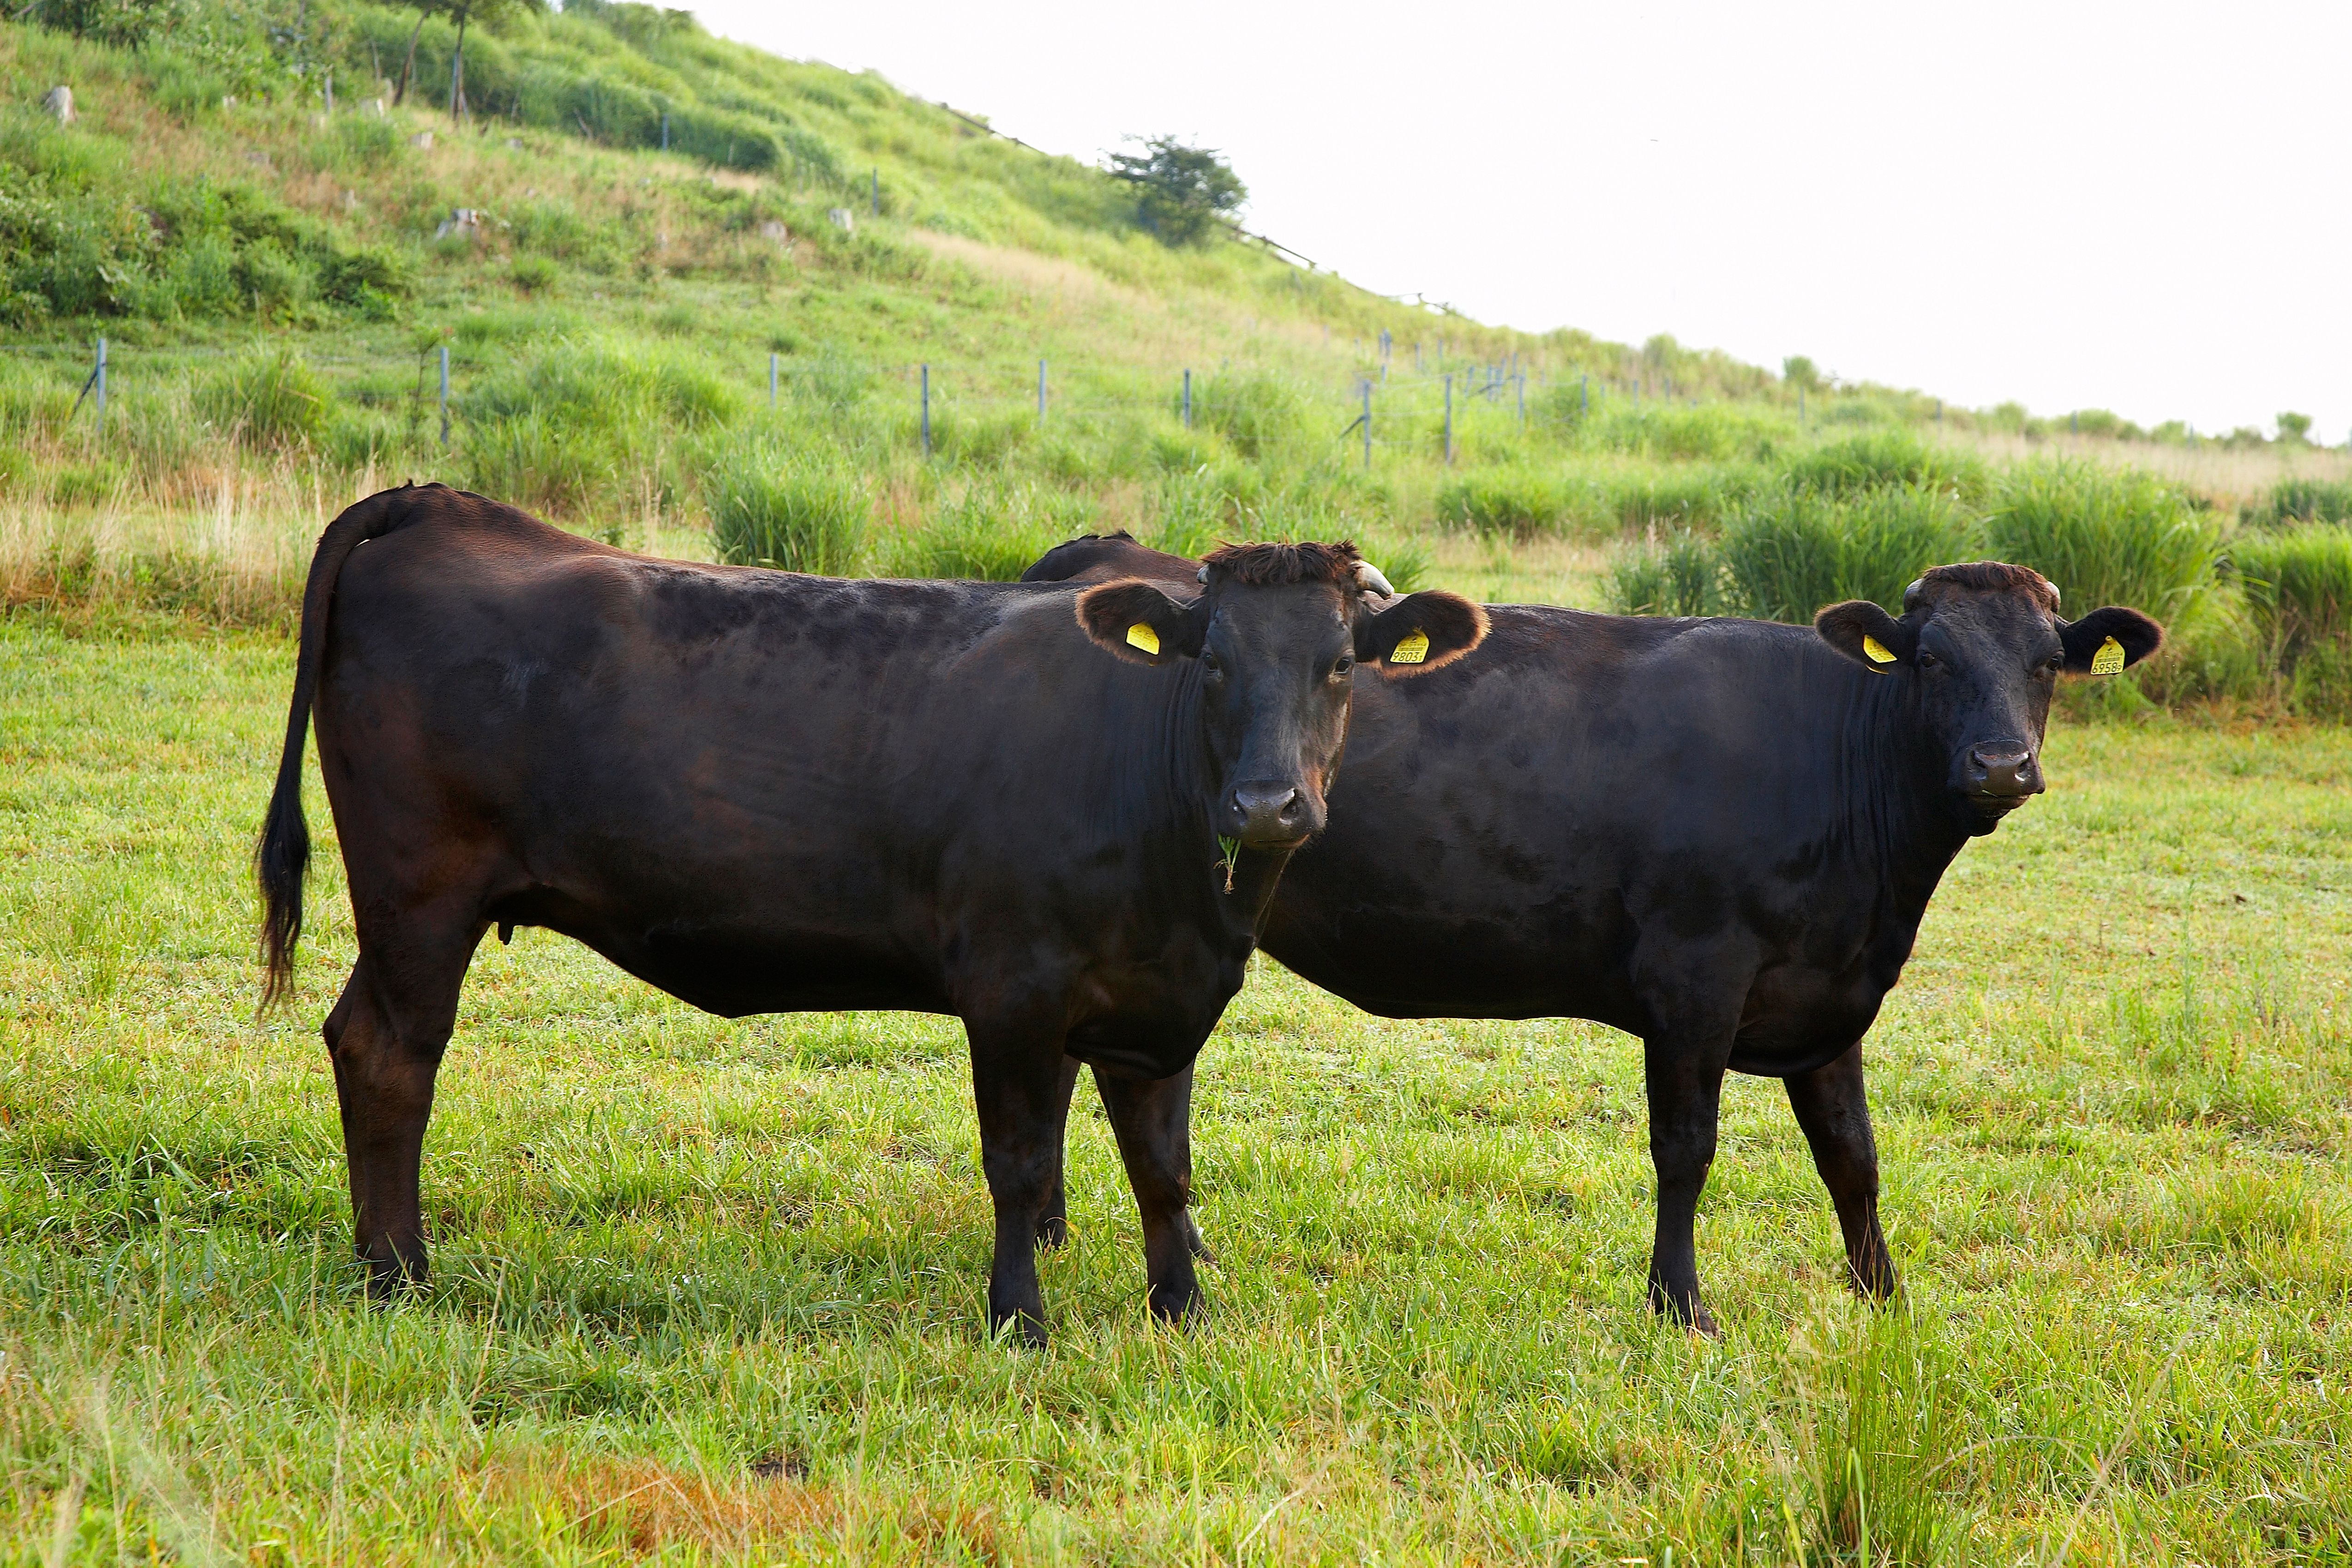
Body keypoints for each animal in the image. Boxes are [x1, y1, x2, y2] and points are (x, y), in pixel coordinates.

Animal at [255, 485, 1486, 1343]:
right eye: (1216, 662)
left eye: (1341, 665)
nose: (1268, 803)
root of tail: (446, 503)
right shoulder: (1013, 987)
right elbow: (1021, 1162)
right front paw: (1019, 1319)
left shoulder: (1160, 999)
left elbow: (1164, 1167)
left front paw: (1181, 1309)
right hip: (419, 894)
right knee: (392, 1054)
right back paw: (399, 1273)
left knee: (362, 1040)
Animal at [1024, 533, 2164, 1332]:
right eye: (1928, 658)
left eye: (2045, 663)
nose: (2000, 765)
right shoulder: (1696, 978)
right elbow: (1686, 1149)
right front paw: (1680, 1306)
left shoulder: (1828, 994)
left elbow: (1853, 1157)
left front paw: (1888, 1301)